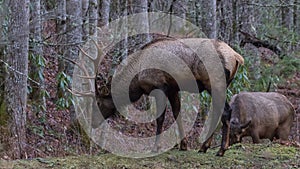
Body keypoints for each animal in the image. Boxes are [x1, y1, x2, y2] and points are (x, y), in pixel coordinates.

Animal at [93, 37, 244, 156]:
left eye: (98, 102)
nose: (93, 122)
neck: (137, 78)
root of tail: (237, 57)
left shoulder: (159, 86)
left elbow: (160, 118)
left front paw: (155, 147)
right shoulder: (172, 89)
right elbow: (177, 113)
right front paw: (183, 145)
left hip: (215, 83)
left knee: (226, 111)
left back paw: (221, 150)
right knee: (216, 112)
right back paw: (204, 147)